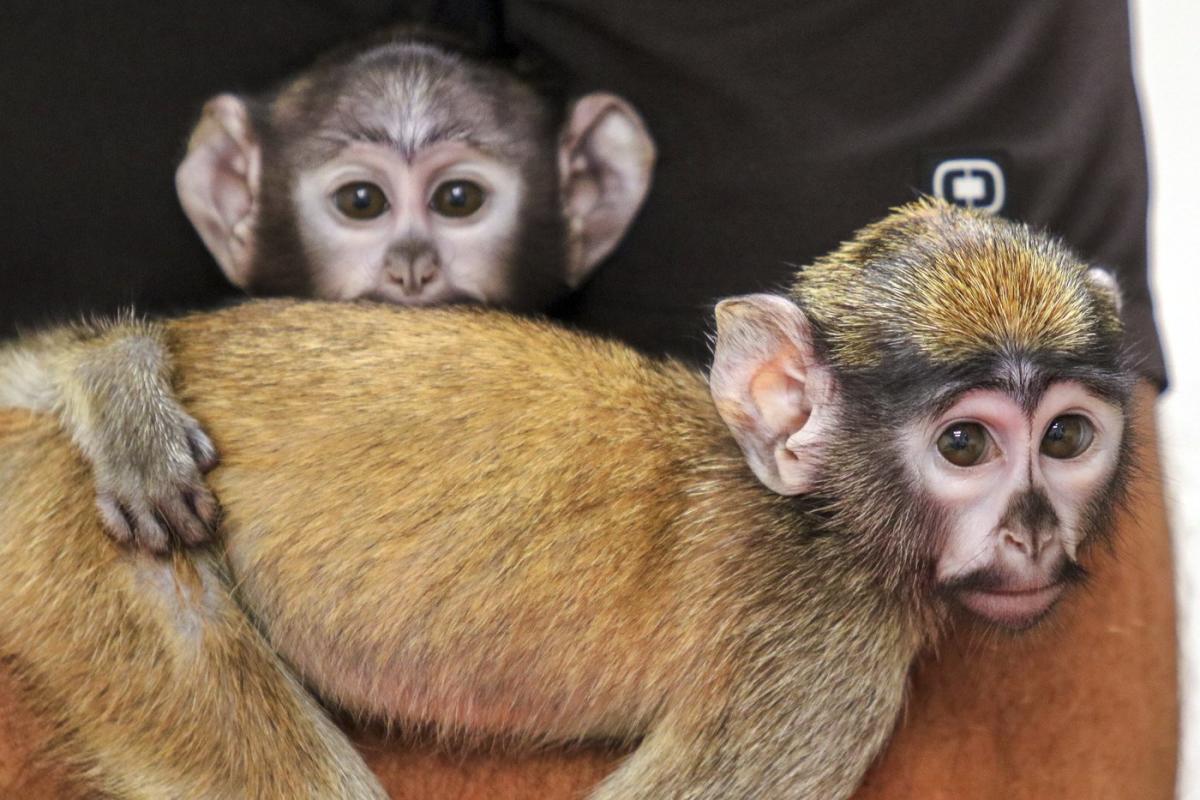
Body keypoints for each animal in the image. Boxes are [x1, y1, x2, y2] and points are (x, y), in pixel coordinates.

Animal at [0, 201, 1132, 800]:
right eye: (965, 445)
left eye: (1067, 438)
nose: (1034, 530)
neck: (814, 505)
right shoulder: (823, 648)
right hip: (65, 518)